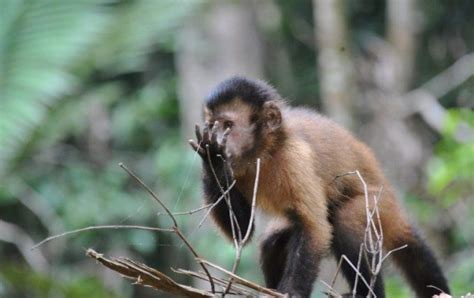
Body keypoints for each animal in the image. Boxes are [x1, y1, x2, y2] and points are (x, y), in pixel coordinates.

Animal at [188, 77, 448, 298]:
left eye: (228, 125)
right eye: (212, 125)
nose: (217, 137)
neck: (266, 150)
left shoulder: (294, 158)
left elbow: (314, 228)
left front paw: (292, 293)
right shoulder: (236, 166)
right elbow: (242, 232)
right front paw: (213, 160)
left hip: (379, 205)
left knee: (346, 219)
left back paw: (367, 293)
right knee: (272, 242)